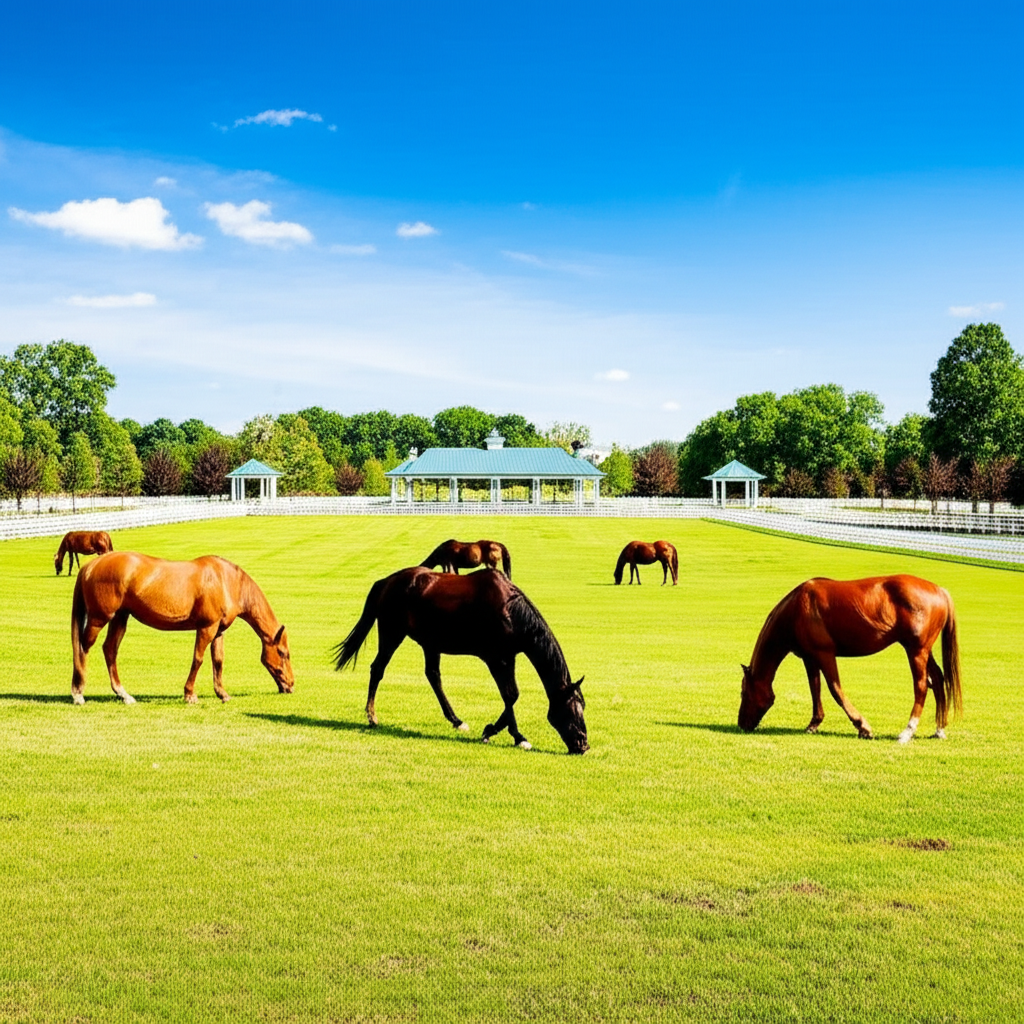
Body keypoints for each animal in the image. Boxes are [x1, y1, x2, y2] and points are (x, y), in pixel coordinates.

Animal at [70, 552, 294, 704]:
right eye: (283, 653)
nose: (291, 685)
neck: (226, 581)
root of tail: (90, 566)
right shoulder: (206, 628)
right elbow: (198, 659)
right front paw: (190, 694)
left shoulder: (218, 631)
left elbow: (218, 661)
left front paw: (222, 693)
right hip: (99, 618)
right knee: (83, 648)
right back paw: (78, 693)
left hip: (120, 618)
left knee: (109, 650)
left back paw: (123, 694)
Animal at [333, 566, 587, 753]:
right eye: (572, 708)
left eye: (582, 706)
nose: (583, 745)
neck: (510, 610)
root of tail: (387, 581)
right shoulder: (496, 660)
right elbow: (511, 696)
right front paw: (504, 733)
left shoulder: (508, 658)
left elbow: (511, 696)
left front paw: (504, 733)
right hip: (391, 633)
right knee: (378, 669)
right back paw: (372, 716)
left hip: (430, 643)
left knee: (433, 676)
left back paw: (456, 720)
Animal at [738, 575, 962, 743]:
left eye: (743, 692)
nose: (741, 724)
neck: (797, 609)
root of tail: (940, 590)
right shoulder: (810, 658)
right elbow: (815, 689)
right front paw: (814, 723)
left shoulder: (825, 654)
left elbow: (835, 690)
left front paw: (863, 726)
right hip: (924, 650)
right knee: (938, 679)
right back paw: (939, 729)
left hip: (916, 651)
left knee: (922, 686)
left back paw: (908, 731)